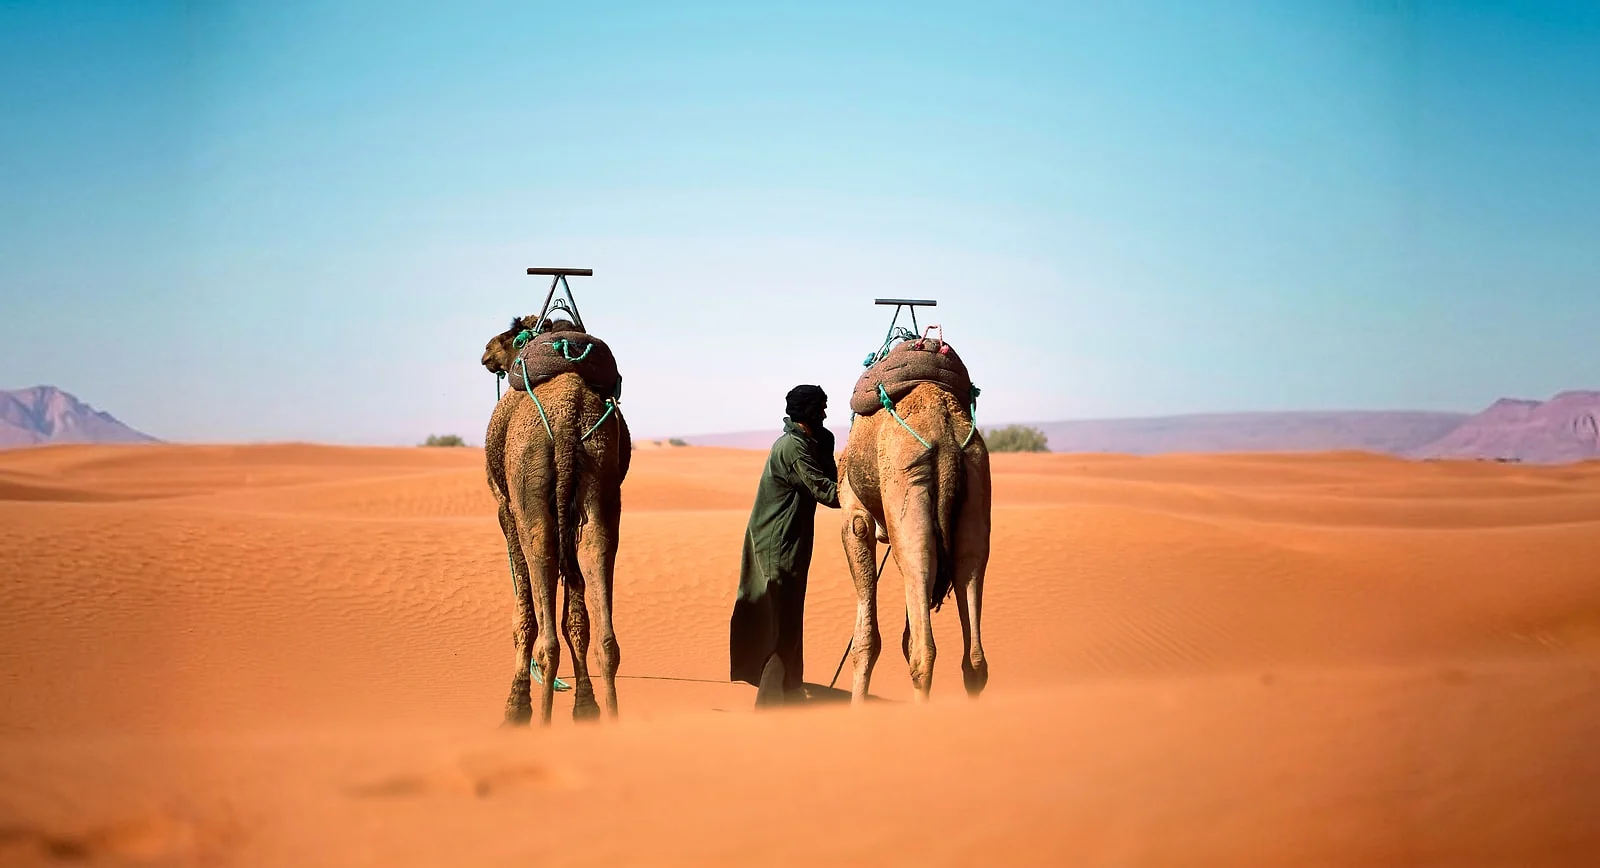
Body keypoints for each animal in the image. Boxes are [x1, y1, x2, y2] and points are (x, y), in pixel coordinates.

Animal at [481, 315, 630, 725]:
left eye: (509, 334)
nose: (486, 352)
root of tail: (567, 418)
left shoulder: (505, 509)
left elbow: (525, 612)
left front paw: (515, 707)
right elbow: (576, 616)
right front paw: (586, 707)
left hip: (529, 488)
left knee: (541, 558)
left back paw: (539, 717)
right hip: (600, 478)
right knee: (597, 554)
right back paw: (612, 715)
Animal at [839, 381, 991, 704]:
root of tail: (945, 434)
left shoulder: (854, 515)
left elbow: (865, 642)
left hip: (906, 482)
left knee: (923, 652)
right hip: (975, 481)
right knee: (974, 655)